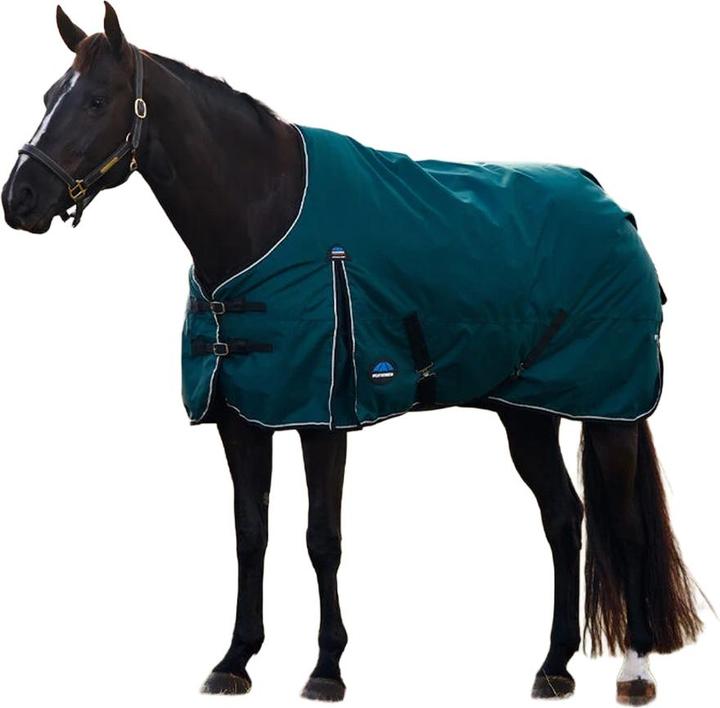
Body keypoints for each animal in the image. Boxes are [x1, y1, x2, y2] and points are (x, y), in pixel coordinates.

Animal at [1, 4, 703, 704]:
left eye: (97, 100)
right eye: (47, 96)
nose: (20, 199)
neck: (265, 215)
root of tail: (609, 203)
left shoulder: (323, 417)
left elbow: (323, 538)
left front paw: (326, 667)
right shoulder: (242, 418)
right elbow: (250, 533)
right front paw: (235, 659)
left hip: (610, 412)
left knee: (627, 527)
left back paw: (635, 669)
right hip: (526, 413)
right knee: (564, 518)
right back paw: (553, 665)